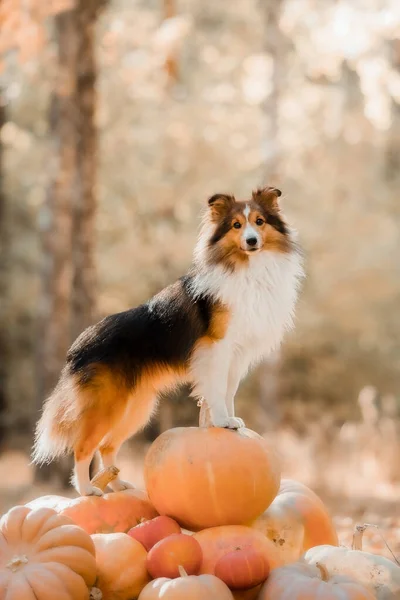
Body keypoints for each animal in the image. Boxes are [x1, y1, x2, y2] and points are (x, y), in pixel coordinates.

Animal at [32, 188, 304, 496]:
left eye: (259, 221)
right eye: (236, 225)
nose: (252, 241)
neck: (246, 269)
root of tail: (78, 347)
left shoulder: (238, 354)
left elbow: (227, 391)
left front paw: (226, 422)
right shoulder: (217, 348)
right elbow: (216, 390)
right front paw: (222, 421)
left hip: (135, 409)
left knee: (107, 445)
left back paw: (118, 484)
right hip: (106, 408)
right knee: (83, 447)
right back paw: (88, 490)